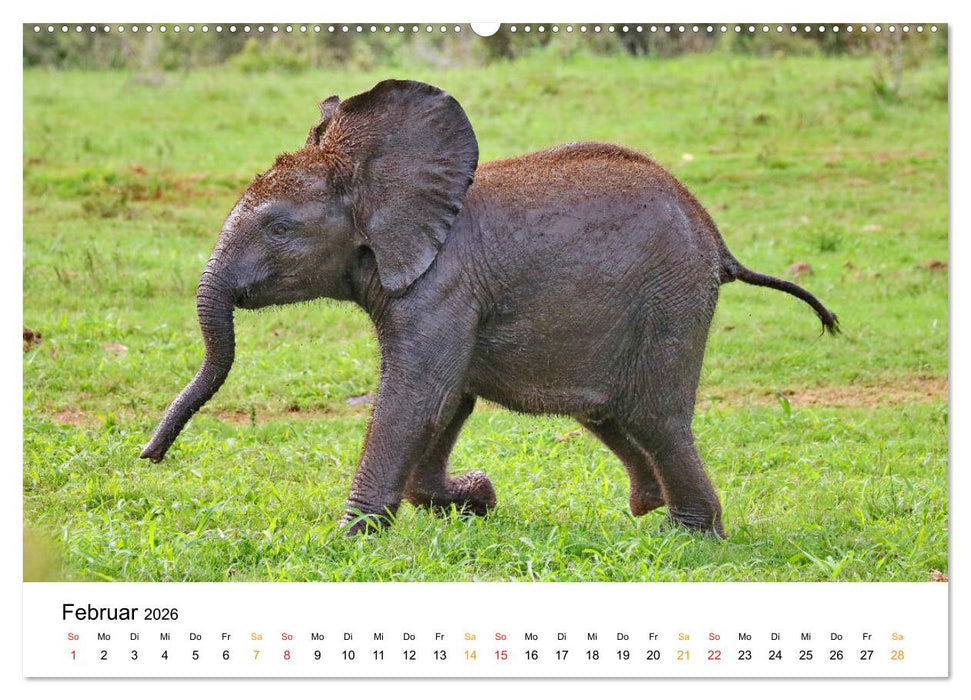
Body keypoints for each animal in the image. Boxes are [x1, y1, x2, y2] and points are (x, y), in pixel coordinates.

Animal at [141, 79, 838, 538]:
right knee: (610, 413)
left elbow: (419, 393)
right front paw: (474, 497)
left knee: (656, 415)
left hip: (671, 298)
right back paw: (646, 508)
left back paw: (685, 534)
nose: (148, 458)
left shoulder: (442, 286)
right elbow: (449, 399)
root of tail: (716, 239)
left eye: (279, 228)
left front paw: (349, 538)